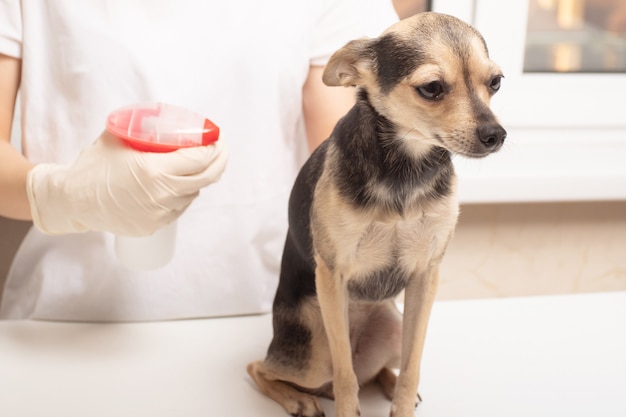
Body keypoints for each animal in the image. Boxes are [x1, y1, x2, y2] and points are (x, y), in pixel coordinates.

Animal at [246, 13, 504, 416]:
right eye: (432, 88)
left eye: (495, 82)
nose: (496, 134)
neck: (405, 169)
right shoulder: (332, 275)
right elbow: (345, 378)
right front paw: (347, 408)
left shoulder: (425, 276)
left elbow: (413, 365)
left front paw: (403, 402)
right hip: (314, 352)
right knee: (265, 369)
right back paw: (299, 398)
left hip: (394, 329)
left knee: (375, 369)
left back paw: (388, 381)